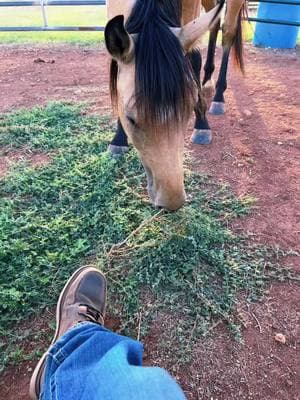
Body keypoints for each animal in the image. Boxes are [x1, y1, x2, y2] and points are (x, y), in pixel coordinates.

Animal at [104, 0, 245, 211]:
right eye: (131, 119)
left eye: (187, 111)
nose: (171, 200)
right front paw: (118, 139)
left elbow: (194, 57)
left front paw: (201, 124)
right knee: (215, 23)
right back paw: (207, 81)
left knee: (228, 31)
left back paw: (218, 95)